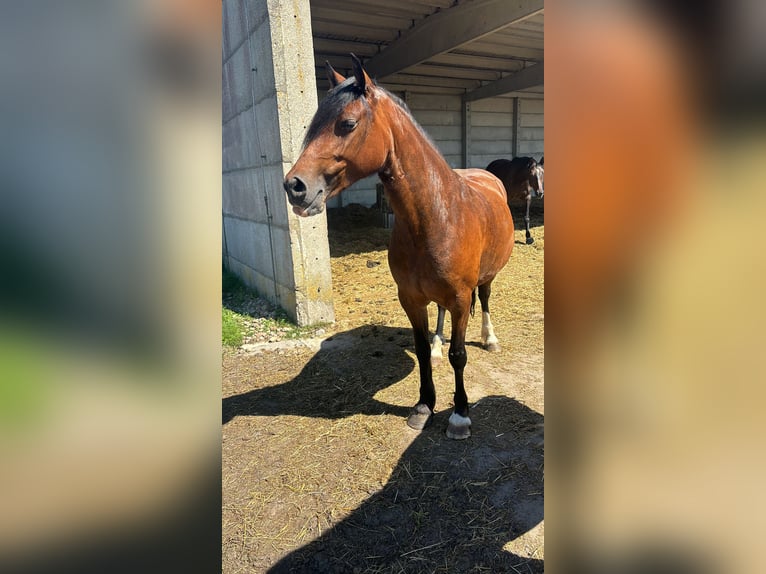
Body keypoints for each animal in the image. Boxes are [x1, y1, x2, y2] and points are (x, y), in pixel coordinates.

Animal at [284, 55, 516, 440]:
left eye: (347, 124)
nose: (295, 187)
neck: (436, 215)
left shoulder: (460, 297)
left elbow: (459, 356)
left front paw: (460, 416)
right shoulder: (410, 297)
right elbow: (421, 351)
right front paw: (424, 405)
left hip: (486, 279)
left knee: (484, 300)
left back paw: (490, 338)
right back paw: (439, 343)